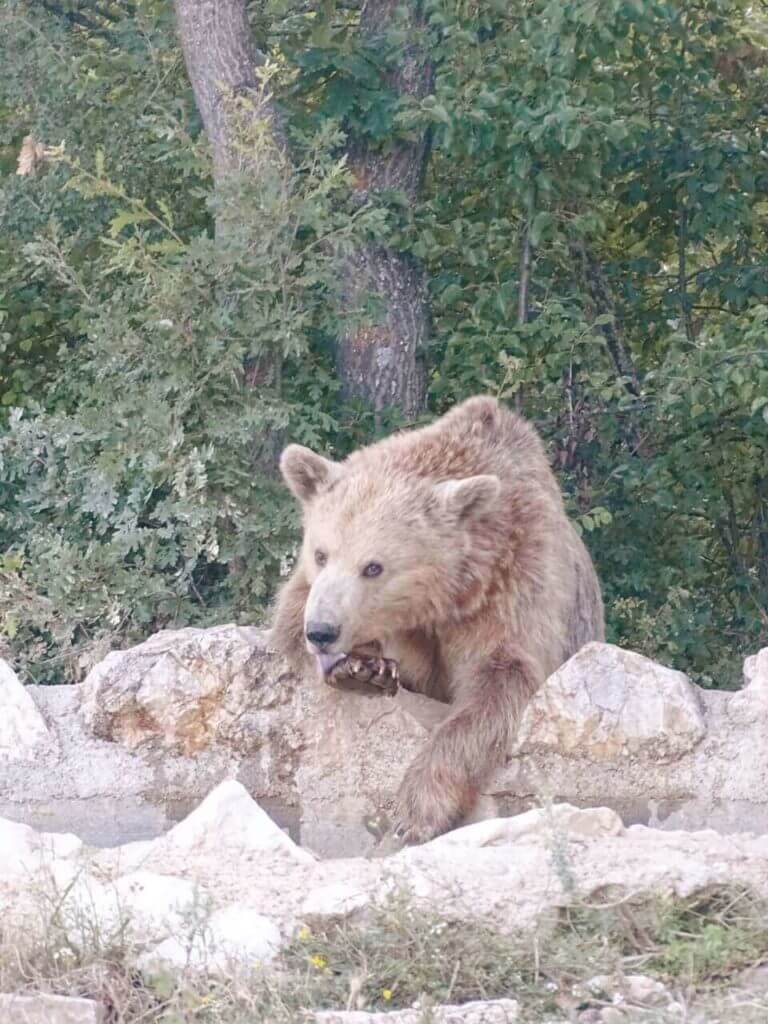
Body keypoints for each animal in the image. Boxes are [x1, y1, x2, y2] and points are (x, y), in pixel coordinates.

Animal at [271, 395, 605, 842]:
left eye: (373, 566)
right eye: (321, 554)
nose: (322, 631)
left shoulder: (514, 586)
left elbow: (496, 682)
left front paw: (416, 809)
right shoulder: (314, 593)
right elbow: (288, 619)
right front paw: (363, 667)